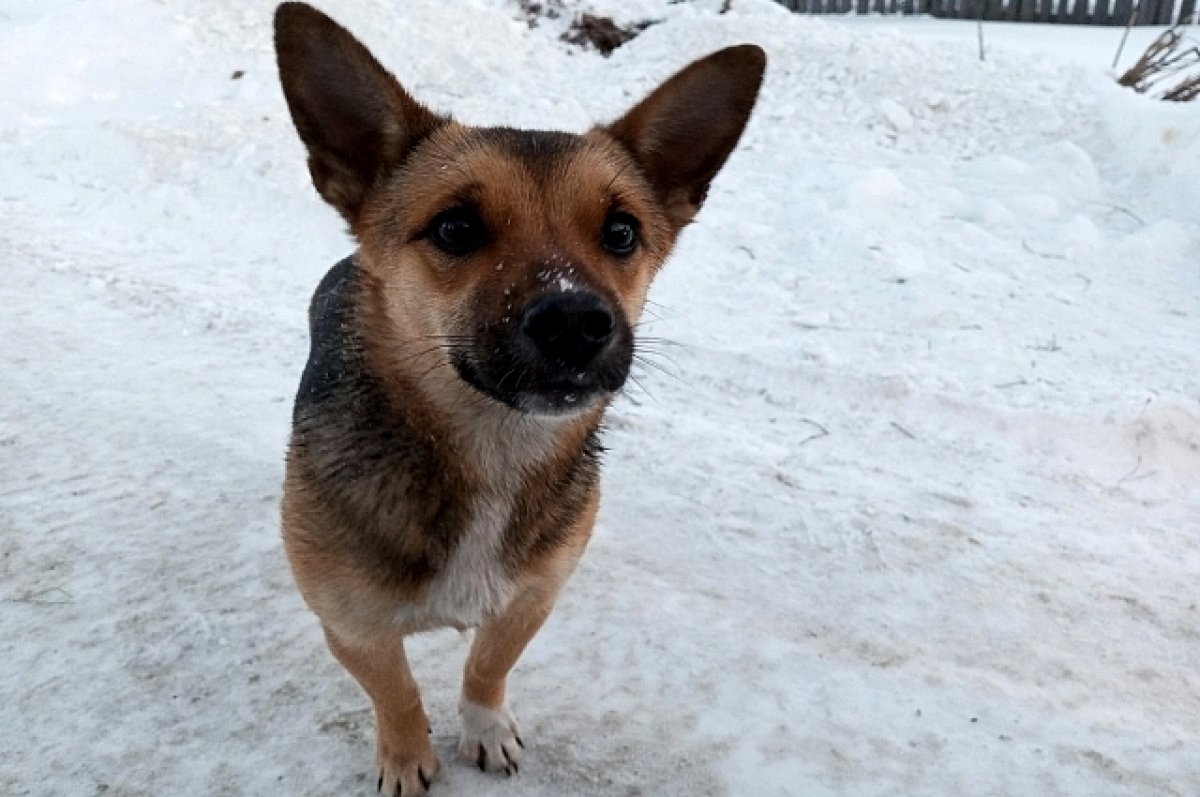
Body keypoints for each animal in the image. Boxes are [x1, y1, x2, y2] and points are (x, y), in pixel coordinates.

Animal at [272, 4, 763, 792]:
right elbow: (397, 690)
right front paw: (407, 755)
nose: (575, 321)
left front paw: (484, 726)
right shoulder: (352, 625)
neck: (493, 449)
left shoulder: (533, 597)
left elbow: (486, 665)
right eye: (454, 227)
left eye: (621, 231)